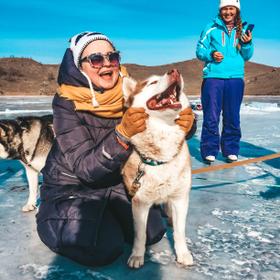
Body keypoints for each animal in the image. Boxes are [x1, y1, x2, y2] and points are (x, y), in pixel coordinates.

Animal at [121, 69, 194, 268]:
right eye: (152, 82)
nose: (174, 71)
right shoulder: (140, 202)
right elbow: (140, 234)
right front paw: (137, 256)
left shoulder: (180, 198)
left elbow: (180, 232)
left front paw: (183, 254)